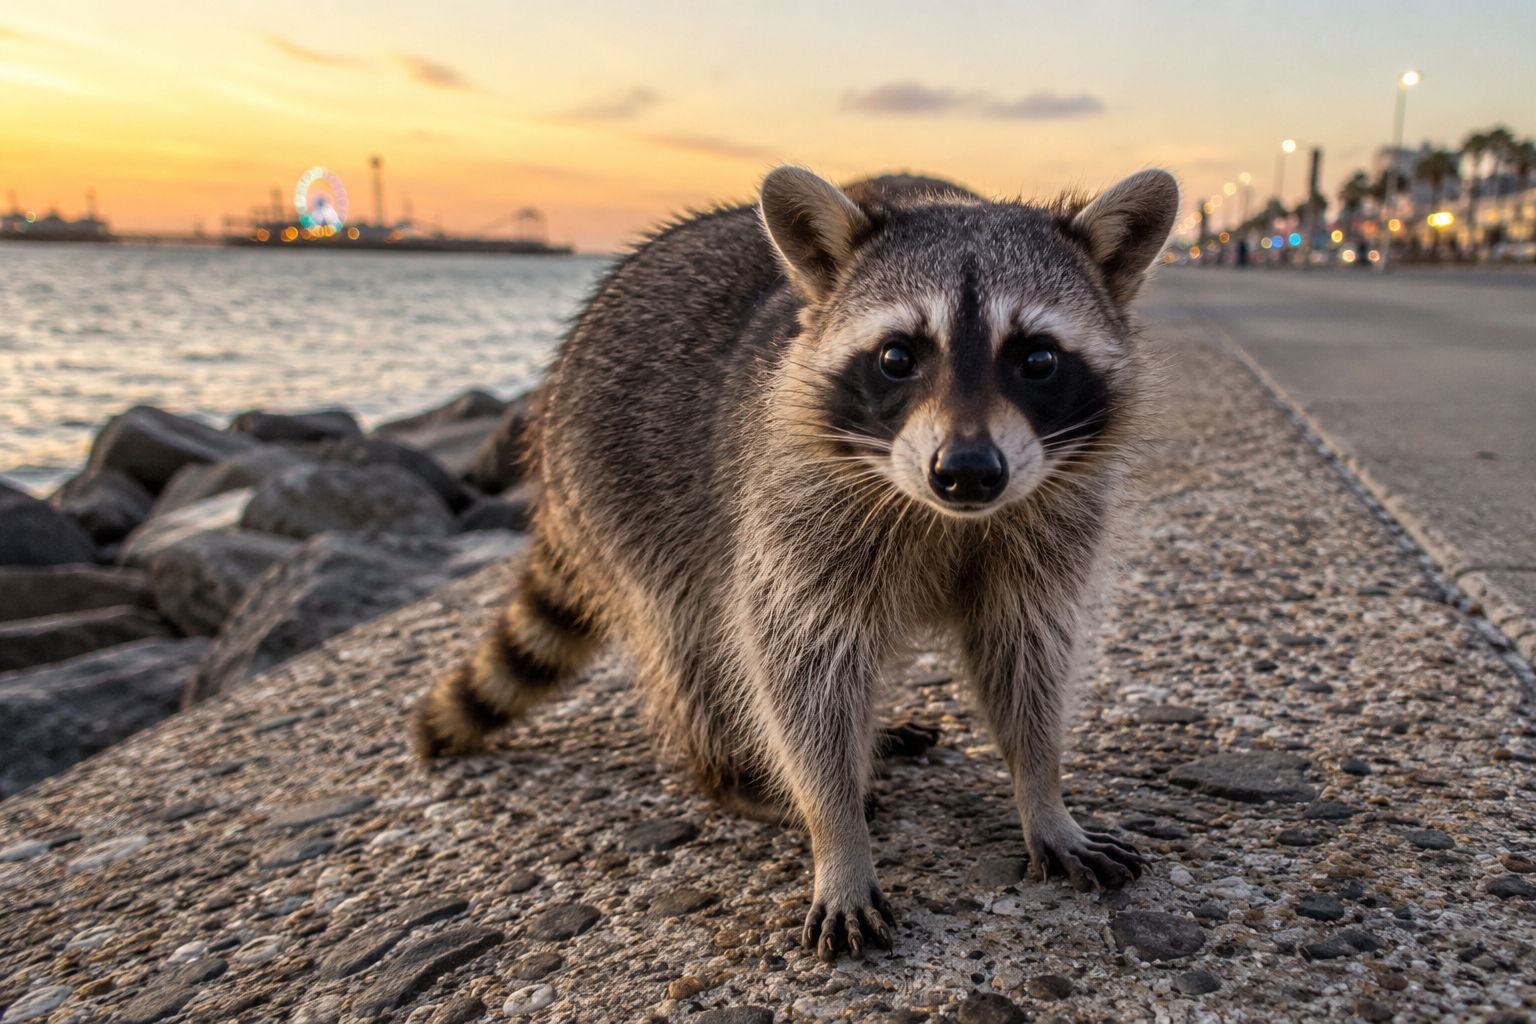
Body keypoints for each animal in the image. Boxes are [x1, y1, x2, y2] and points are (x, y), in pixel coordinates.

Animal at [411, 165, 1180, 961]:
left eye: (1037, 359)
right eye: (897, 357)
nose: (967, 471)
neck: (949, 518)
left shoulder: (1049, 528)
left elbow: (1026, 654)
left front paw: (1042, 791)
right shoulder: (792, 514)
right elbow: (799, 670)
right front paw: (835, 834)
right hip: (624, 497)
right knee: (695, 643)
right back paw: (730, 772)